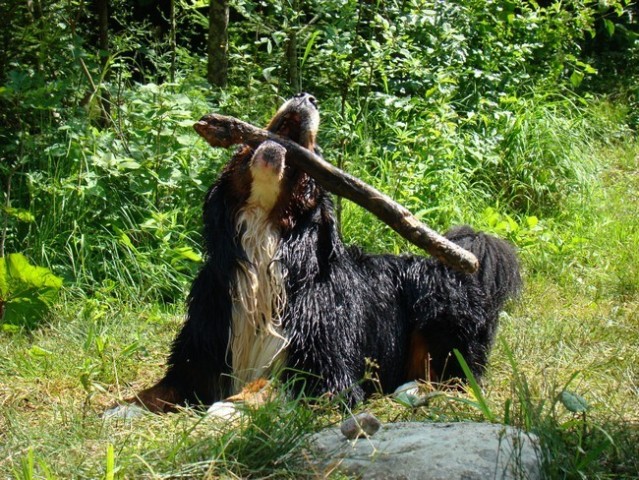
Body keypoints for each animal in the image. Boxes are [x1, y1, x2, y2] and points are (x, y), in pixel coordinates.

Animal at [112, 94, 524, 412]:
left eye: (317, 153)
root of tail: (468, 272)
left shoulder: (328, 371)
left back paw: (413, 389)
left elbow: (270, 384)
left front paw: (231, 406)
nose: (307, 97)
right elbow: (162, 387)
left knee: (455, 377)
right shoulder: (202, 347)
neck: (266, 245)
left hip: (435, 301)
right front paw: (123, 408)